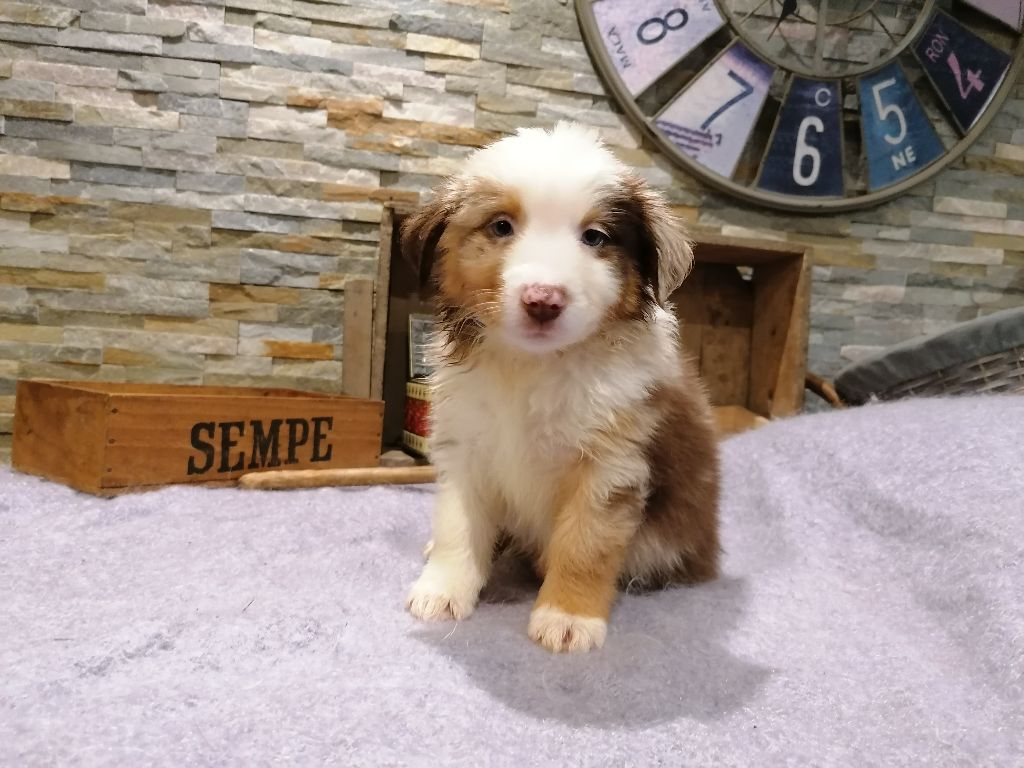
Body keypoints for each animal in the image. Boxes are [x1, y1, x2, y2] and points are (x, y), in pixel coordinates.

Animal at [402, 122, 720, 653]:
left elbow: (585, 544)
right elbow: (457, 524)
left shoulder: (611, 464)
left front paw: (567, 617)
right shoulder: (465, 445)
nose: (543, 301)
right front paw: (443, 591)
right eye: (501, 227)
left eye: (594, 237)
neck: (533, 367)